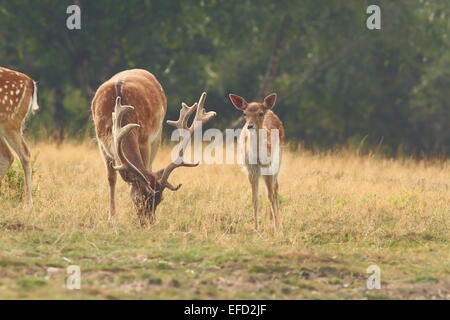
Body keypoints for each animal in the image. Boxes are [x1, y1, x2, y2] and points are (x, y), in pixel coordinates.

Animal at [91, 69, 214, 225]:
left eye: (160, 199)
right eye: (138, 199)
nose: (149, 223)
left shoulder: (145, 139)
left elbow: (145, 167)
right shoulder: (102, 143)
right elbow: (111, 178)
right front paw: (112, 219)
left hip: (157, 135)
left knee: (149, 165)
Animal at [229, 92, 284, 230]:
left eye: (260, 113)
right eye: (244, 113)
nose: (250, 126)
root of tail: (270, 110)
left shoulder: (268, 166)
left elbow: (271, 196)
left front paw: (278, 230)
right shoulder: (251, 170)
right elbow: (255, 198)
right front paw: (256, 228)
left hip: (278, 160)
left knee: (275, 189)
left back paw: (276, 224)